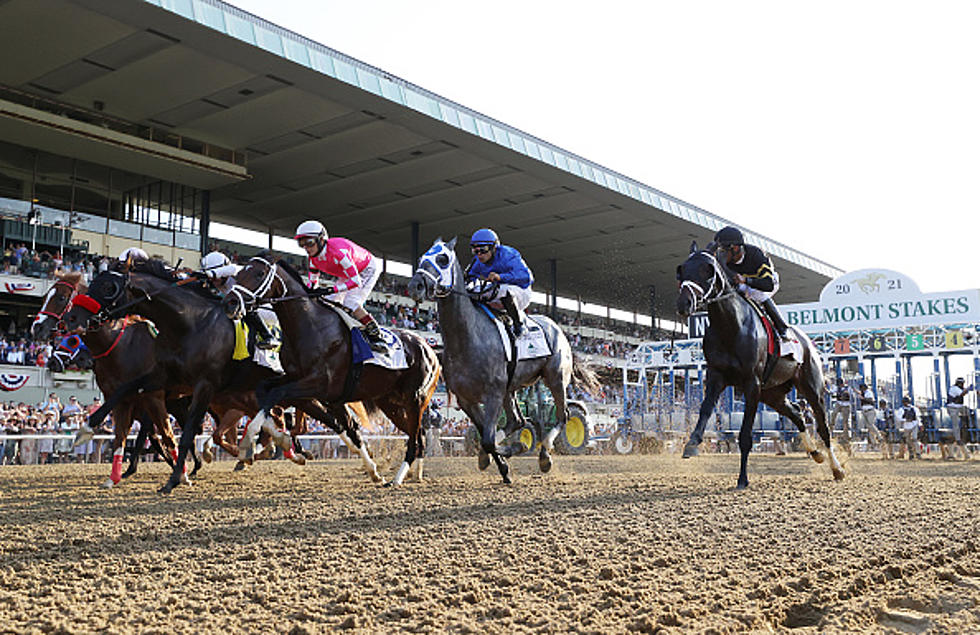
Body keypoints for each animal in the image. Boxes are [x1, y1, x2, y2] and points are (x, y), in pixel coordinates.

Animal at [226, 256, 440, 484]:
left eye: (259, 273)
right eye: (239, 273)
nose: (230, 302)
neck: (310, 326)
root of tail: (430, 349)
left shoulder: (321, 384)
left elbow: (277, 394)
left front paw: (251, 440)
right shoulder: (299, 380)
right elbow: (264, 391)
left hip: (415, 399)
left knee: (415, 438)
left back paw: (398, 478)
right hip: (391, 404)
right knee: (419, 435)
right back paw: (414, 474)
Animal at [406, 237, 596, 482]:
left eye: (442, 259)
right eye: (421, 258)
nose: (415, 285)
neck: (468, 337)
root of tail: (558, 329)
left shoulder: (493, 393)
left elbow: (488, 439)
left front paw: (516, 449)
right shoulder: (467, 399)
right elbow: (486, 436)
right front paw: (499, 463)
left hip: (555, 378)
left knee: (563, 416)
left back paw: (545, 455)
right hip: (510, 389)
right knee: (517, 420)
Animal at [672, 241, 844, 490]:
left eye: (707, 270)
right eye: (682, 270)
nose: (684, 303)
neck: (730, 326)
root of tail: (808, 343)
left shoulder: (751, 383)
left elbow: (745, 435)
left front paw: (743, 479)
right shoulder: (716, 376)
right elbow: (705, 409)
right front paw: (692, 444)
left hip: (811, 388)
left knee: (823, 426)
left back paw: (837, 468)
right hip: (772, 394)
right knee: (797, 414)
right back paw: (815, 453)